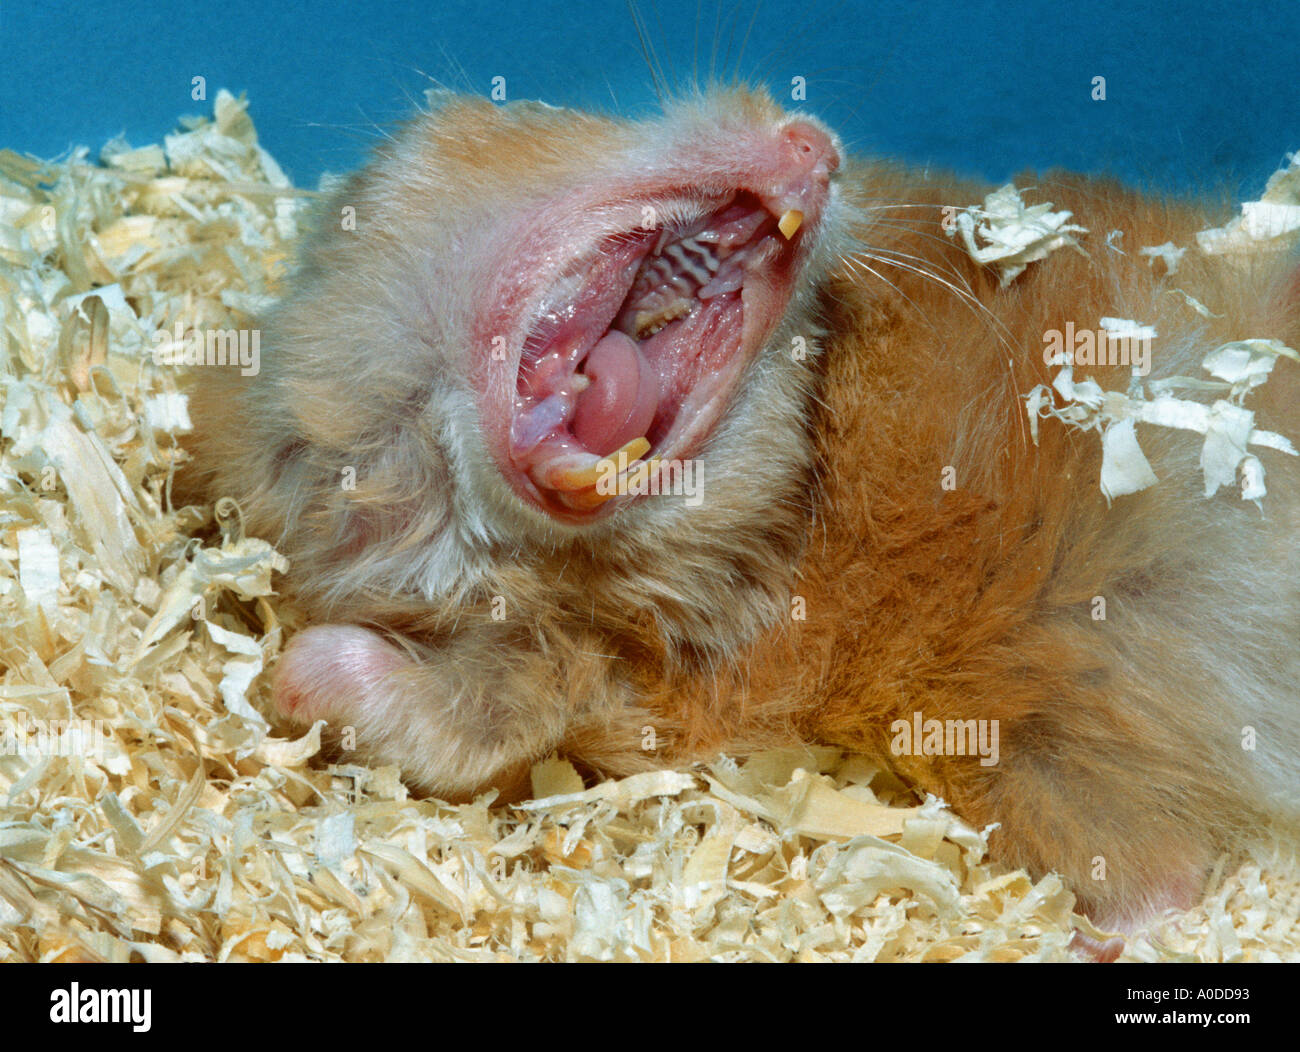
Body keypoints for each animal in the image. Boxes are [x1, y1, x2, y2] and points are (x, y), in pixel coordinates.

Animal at [187, 86, 1300, 960]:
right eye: (608, 114)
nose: (818, 139)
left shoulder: (612, 681)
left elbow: (446, 716)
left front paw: (291, 677)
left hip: (1051, 733)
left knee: (1159, 882)